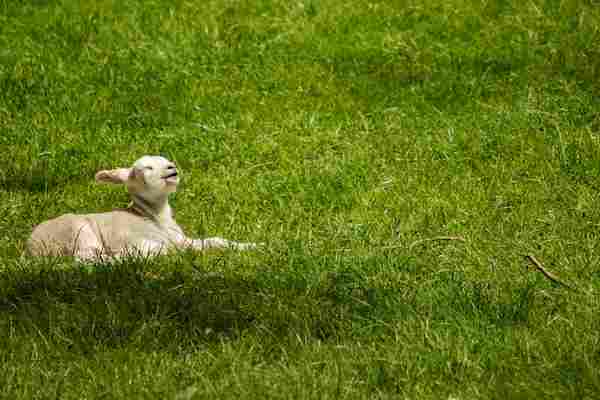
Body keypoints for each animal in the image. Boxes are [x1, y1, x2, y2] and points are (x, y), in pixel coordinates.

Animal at [27, 155, 258, 262]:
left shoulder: (182, 239)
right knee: (85, 259)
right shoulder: (134, 239)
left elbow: (216, 241)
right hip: (78, 231)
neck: (153, 218)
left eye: (165, 160)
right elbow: (161, 250)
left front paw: (254, 246)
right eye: (146, 168)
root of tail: (30, 248)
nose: (172, 168)